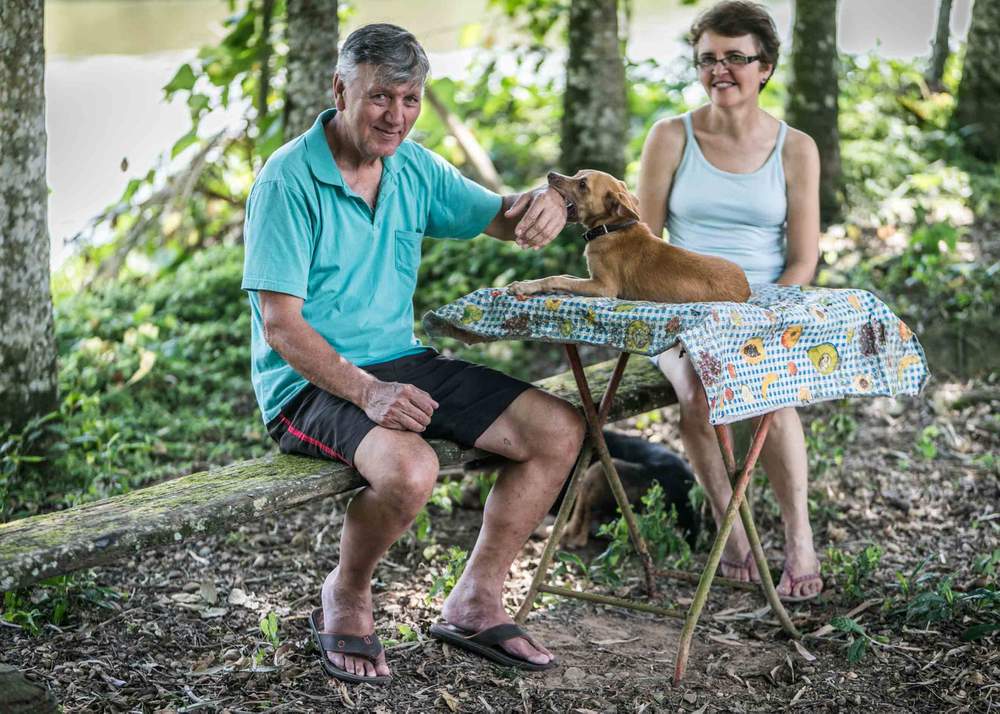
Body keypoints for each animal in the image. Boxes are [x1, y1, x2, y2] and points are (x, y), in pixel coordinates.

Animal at [508, 171, 752, 302]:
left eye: (583, 184)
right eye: (576, 174)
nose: (551, 175)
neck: (611, 229)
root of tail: (747, 289)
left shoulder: (604, 287)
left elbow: (557, 279)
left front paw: (523, 287)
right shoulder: (591, 278)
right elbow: (564, 276)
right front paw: (527, 283)